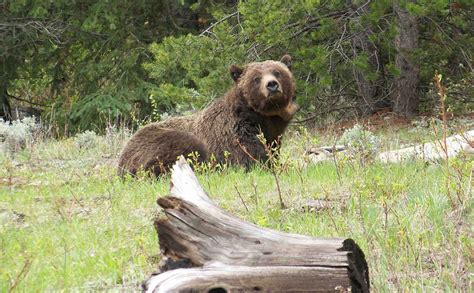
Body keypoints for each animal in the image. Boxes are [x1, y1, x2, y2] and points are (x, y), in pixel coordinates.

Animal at [117, 55, 298, 177]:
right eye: (256, 78)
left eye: (277, 72)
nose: (272, 85)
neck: (262, 117)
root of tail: (121, 161)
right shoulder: (235, 134)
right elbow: (252, 158)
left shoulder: (273, 134)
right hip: (158, 144)